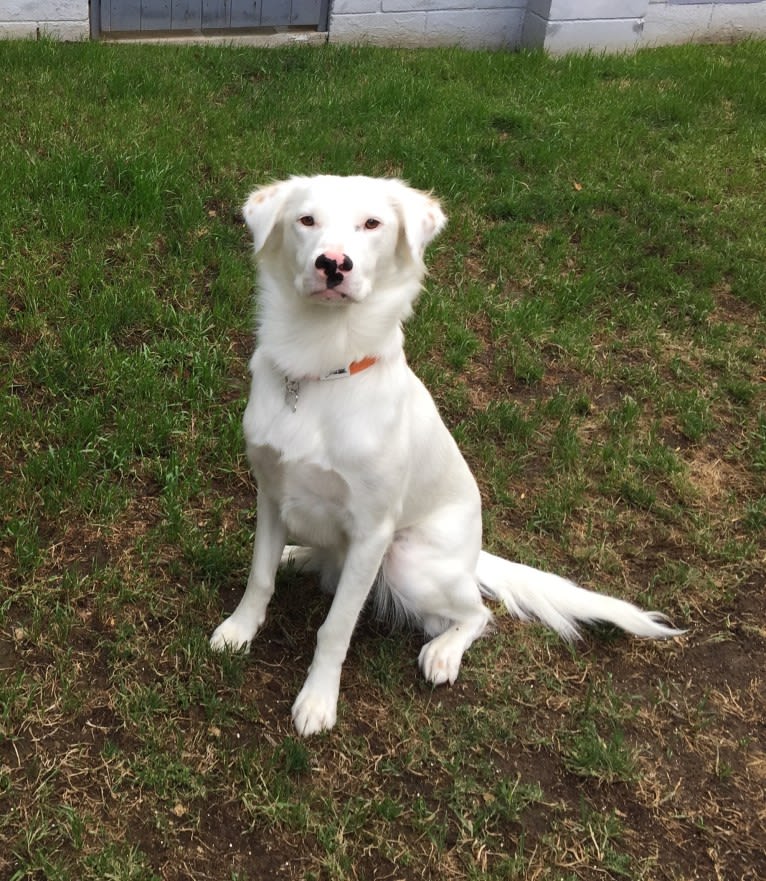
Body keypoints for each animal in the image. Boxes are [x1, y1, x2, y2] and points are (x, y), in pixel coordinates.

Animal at [210, 174, 684, 736]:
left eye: (372, 224)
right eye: (306, 220)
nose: (333, 264)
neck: (322, 366)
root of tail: (473, 558)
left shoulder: (373, 531)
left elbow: (337, 627)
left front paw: (318, 699)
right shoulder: (271, 492)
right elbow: (258, 578)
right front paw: (239, 629)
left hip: (408, 563)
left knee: (476, 613)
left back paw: (444, 652)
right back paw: (298, 554)